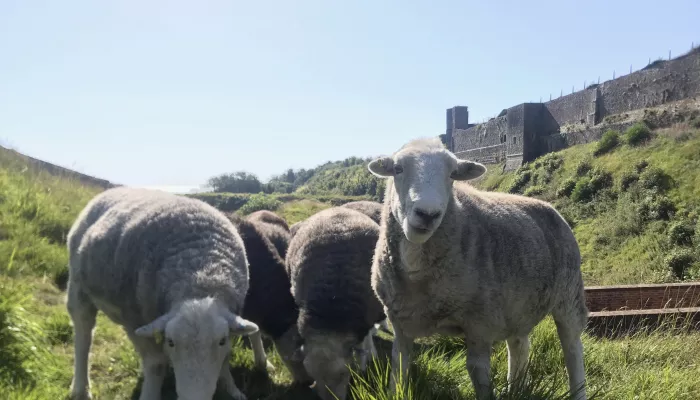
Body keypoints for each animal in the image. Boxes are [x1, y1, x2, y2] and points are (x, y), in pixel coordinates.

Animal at [66, 187, 259, 400]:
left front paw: (232, 390)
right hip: (79, 287)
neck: (199, 276)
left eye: (221, 341)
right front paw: (149, 394)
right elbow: (156, 364)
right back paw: (81, 388)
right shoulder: (133, 320)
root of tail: (113, 190)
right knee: (83, 334)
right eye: (171, 342)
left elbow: (224, 360)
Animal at [368, 137, 588, 400]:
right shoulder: (399, 322)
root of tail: (547, 205)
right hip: (518, 306)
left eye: (452, 175)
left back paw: (577, 389)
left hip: (569, 294)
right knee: (519, 345)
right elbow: (399, 366)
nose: (428, 214)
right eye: (398, 169)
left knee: (572, 347)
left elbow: (477, 372)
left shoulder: (480, 323)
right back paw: (514, 389)